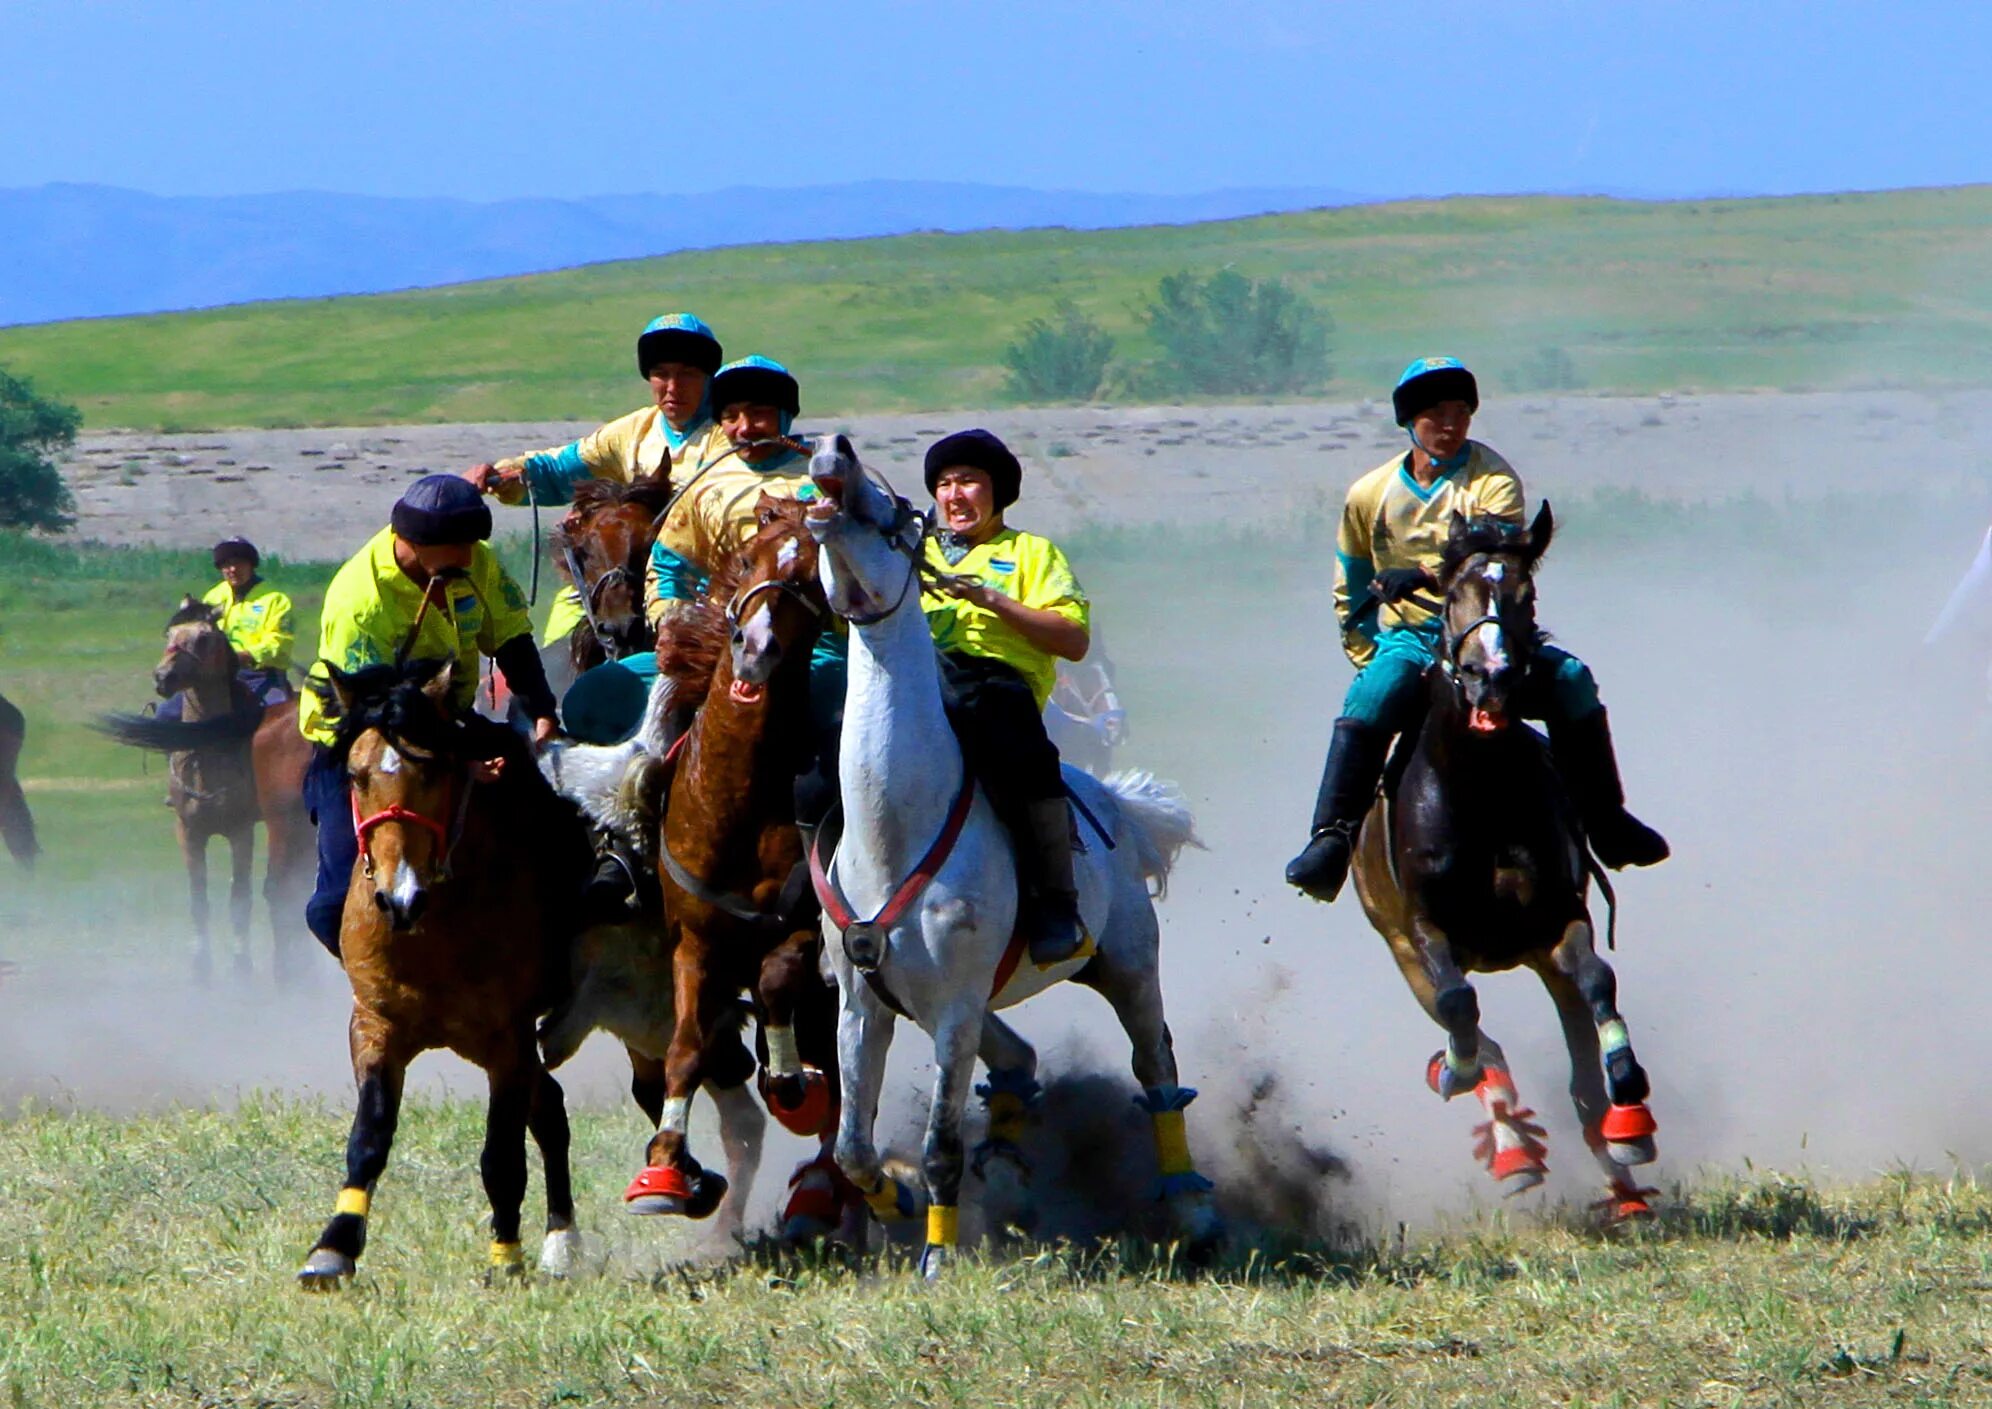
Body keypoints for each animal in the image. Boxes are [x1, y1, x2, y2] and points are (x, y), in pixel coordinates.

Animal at [96, 601, 314, 988]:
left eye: (203, 638)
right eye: (169, 634)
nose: (162, 677)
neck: (207, 751)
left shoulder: (241, 832)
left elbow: (239, 900)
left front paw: (241, 966)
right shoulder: (189, 831)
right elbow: (198, 902)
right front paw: (201, 969)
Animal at [294, 661, 589, 1291]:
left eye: (432, 771)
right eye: (355, 775)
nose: (398, 897)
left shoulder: (506, 1039)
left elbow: (500, 1153)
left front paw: (505, 1255)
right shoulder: (375, 1027)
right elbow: (370, 1135)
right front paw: (334, 1247)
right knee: (549, 1107)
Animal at [800, 438, 1219, 1275]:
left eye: (898, 512)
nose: (835, 448)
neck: (894, 833)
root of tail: (1117, 805)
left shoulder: (958, 1007)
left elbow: (939, 1146)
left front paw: (936, 1256)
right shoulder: (864, 1003)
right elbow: (853, 1146)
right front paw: (895, 1201)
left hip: (1127, 965)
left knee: (1157, 1068)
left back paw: (1192, 1211)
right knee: (1020, 1061)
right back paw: (1010, 1166)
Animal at [1346, 510, 1657, 1219]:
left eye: (1525, 595)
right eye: (1450, 591)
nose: (1490, 674)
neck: (1481, 792)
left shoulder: (1559, 922)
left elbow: (1598, 980)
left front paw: (1630, 1107)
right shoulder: (1425, 933)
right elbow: (1461, 1006)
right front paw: (1460, 1075)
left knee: (1580, 1076)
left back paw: (1621, 1182)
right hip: (1398, 945)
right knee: (1464, 1016)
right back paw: (1508, 1136)